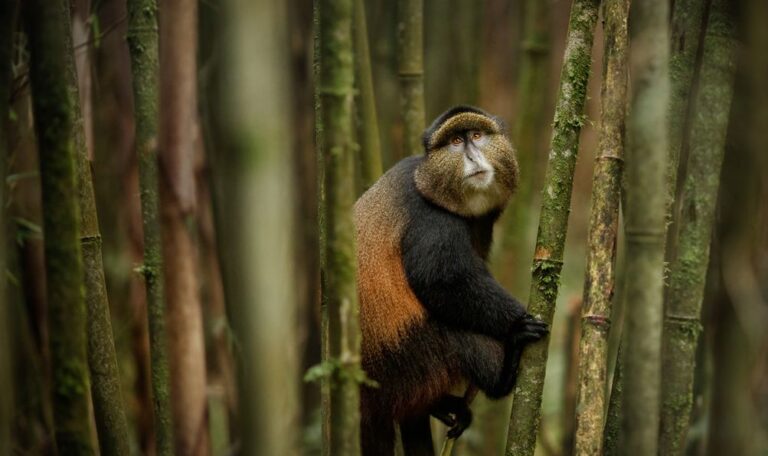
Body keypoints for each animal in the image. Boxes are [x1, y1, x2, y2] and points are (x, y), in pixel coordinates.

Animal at [354, 106, 549, 455]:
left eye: (477, 136)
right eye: (456, 142)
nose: (472, 156)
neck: (427, 179)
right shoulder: (432, 220)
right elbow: (441, 282)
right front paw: (516, 323)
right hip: (406, 354)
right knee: (459, 337)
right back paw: (503, 372)